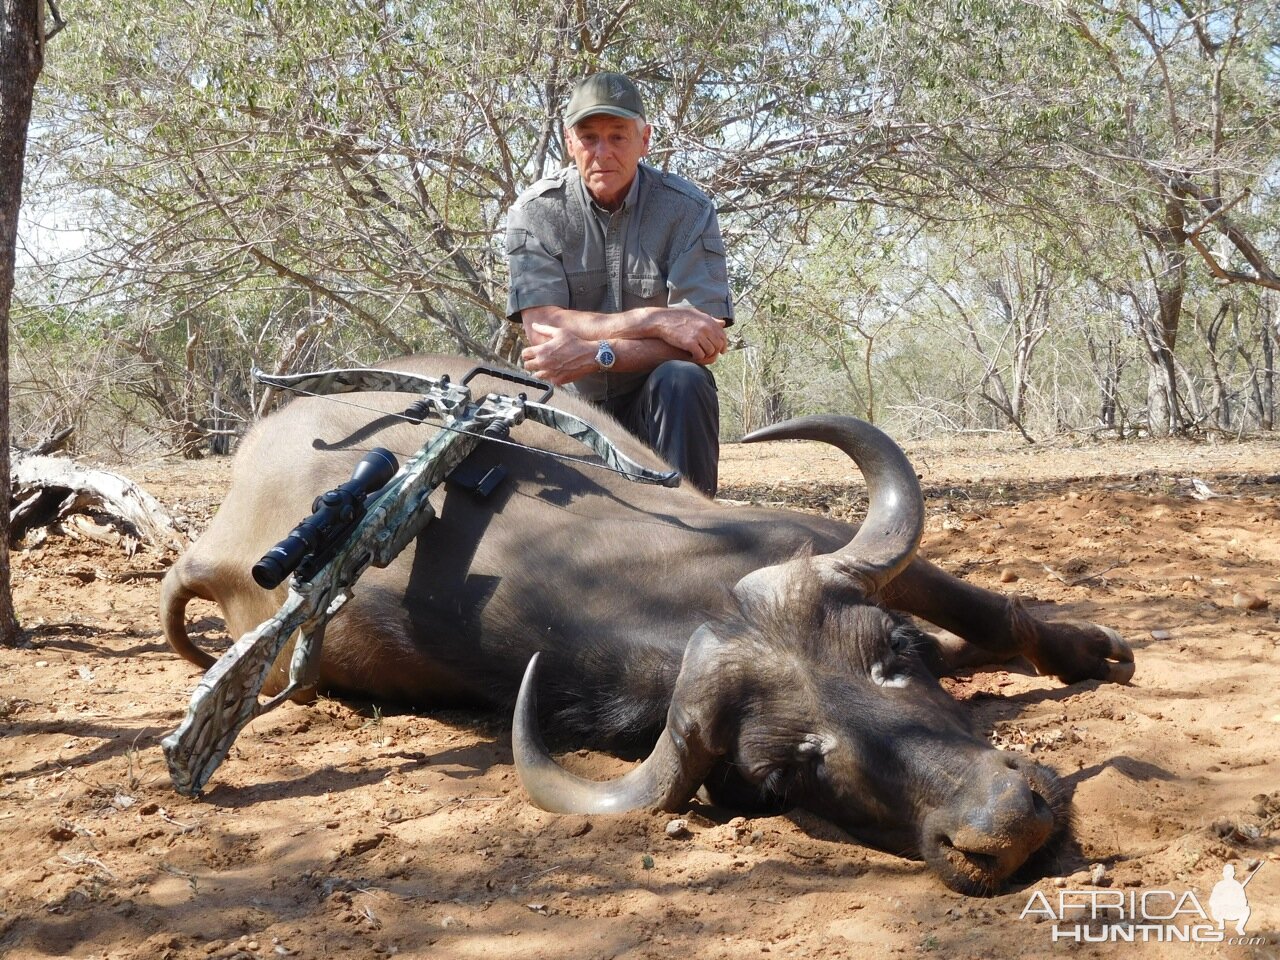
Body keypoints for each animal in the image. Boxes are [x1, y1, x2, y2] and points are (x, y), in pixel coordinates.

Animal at [160, 350, 1131, 896]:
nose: (1002, 826)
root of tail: (213, 545)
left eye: (892, 661)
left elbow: (990, 610)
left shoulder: (817, 538)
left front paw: (1096, 651)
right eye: (791, 770)